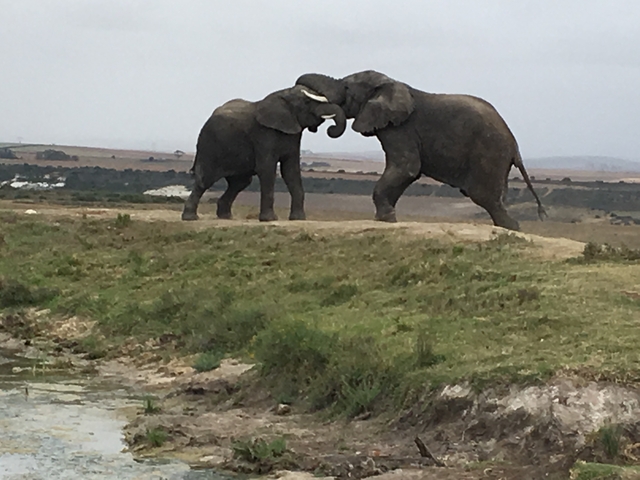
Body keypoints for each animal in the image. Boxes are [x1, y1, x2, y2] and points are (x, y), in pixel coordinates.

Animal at [181, 85, 346, 222]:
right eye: (306, 102)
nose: (330, 129)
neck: (283, 96)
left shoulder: (293, 135)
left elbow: (291, 171)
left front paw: (298, 219)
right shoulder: (263, 134)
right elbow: (267, 169)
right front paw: (269, 219)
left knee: (240, 183)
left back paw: (226, 216)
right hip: (209, 146)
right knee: (205, 180)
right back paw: (190, 218)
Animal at [295, 70, 546, 231]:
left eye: (346, 87)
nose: (326, 128)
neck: (391, 82)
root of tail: (515, 146)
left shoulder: (401, 128)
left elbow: (406, 167)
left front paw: (386, 218)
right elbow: (407, 172)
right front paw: (386, 218)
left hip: (489, 153)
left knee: (482, 195)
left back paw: (511, 228)